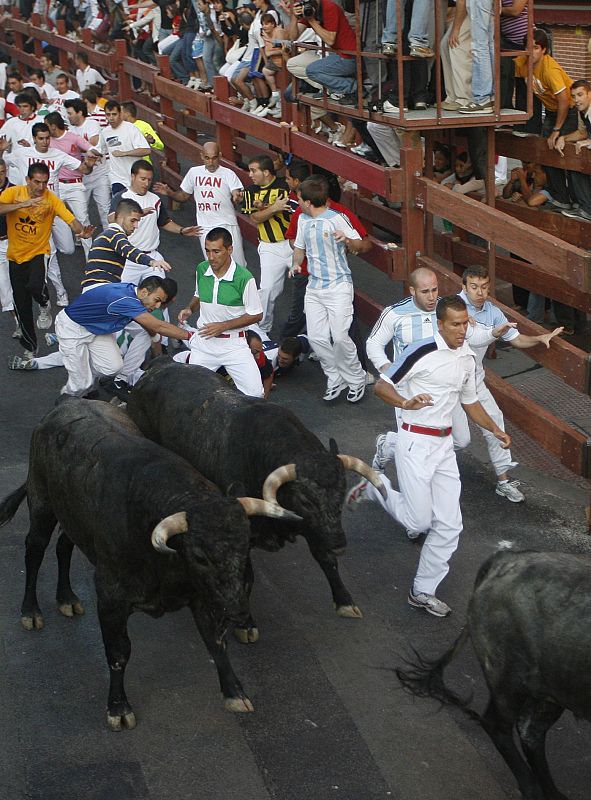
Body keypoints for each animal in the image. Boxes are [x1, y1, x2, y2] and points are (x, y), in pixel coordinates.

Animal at [0, 400, 298, 732]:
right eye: (200, 557)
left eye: (245, 546)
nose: (238, 611)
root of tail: (64, 406)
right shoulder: (110, 597)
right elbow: (118, 652)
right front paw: (118, 707)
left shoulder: (200, 595)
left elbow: (215, 642)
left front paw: (234, 692)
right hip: (41, 503)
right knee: (35, 550)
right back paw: (31, 611)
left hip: (74, 517)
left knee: (64, 546)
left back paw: (67, 598)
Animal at [126, 362, 386, 644]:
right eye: (305, 500)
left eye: (340, 493)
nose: (340, 544)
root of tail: (157, 368)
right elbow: (245, 577)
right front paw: (246, 624)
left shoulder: (314, 527)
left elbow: (325, 557)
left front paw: (344, 600)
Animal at [396, 552, 591, 800]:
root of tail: (505, 559)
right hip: (510, 680)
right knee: (498, 726)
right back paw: (533, 789)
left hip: (554, 686)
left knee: (531, 732)